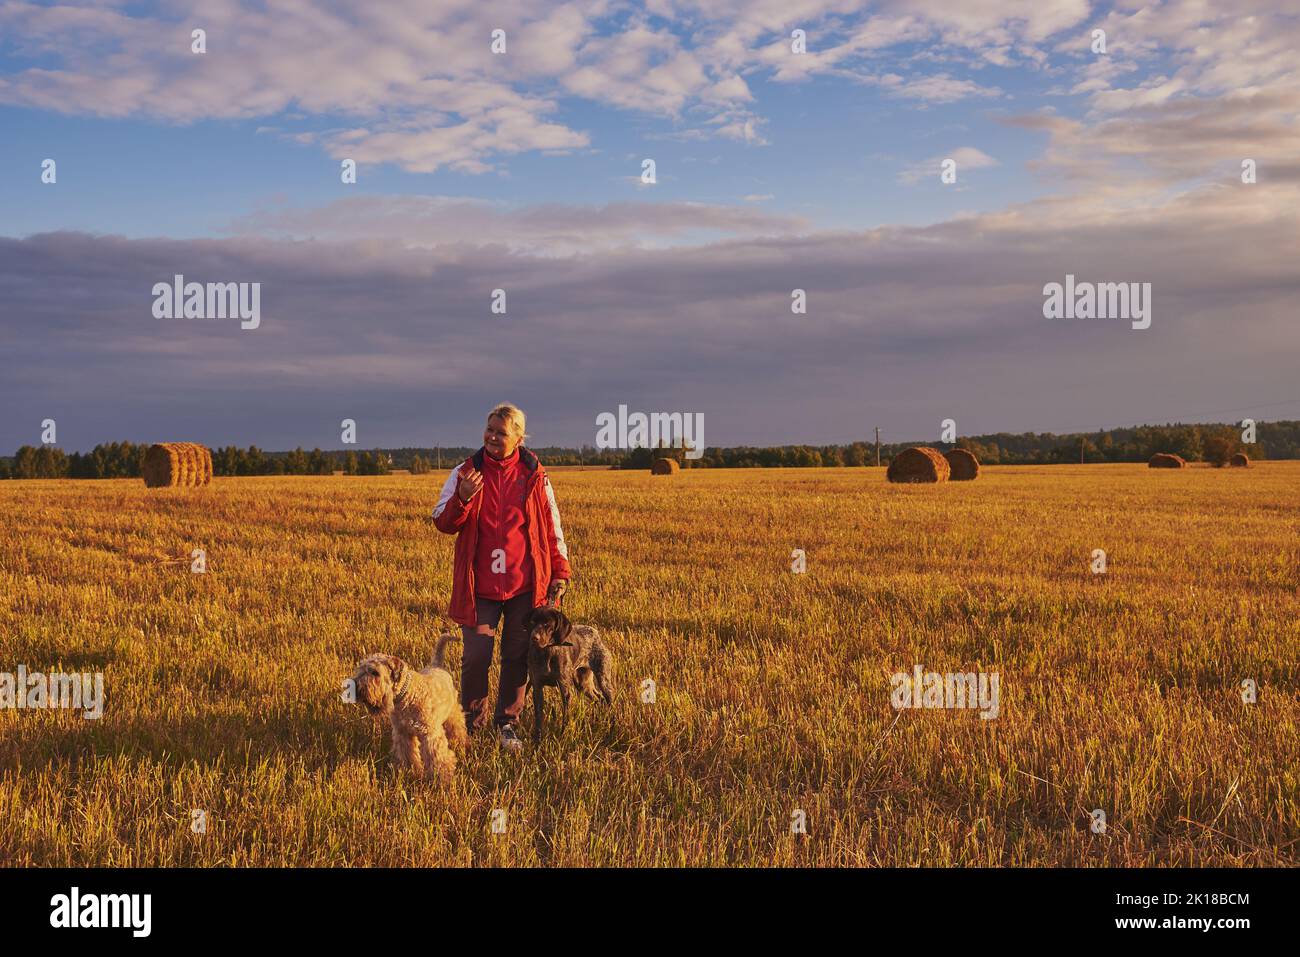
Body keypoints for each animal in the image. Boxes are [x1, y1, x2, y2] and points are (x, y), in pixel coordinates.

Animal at [351, 634, 467, 780]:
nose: (356, 687)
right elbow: (408, 755)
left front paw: (442, 778)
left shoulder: (430, 735)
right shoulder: (403, 733)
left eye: (375, 672)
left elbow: (437, 758)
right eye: (360, 670)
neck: (407, 696)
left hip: (453, 713)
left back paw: (461, 744)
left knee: (458, 729)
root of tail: (437, 666)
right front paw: (410, 772)